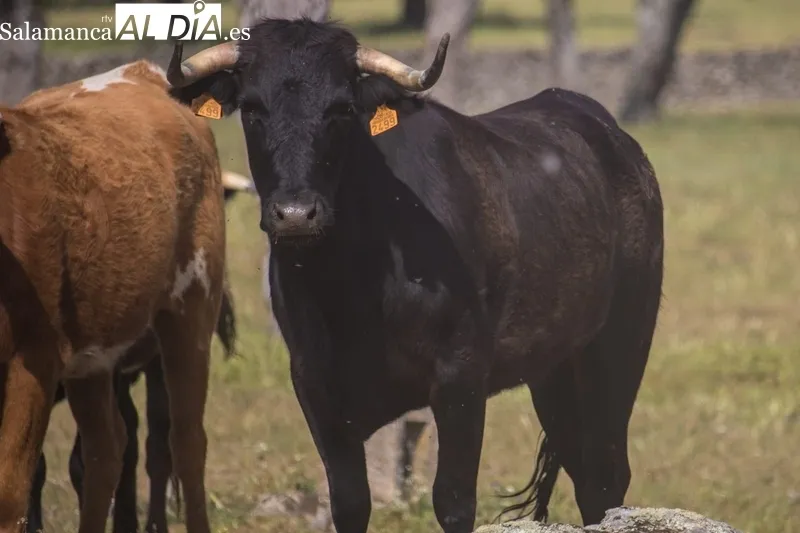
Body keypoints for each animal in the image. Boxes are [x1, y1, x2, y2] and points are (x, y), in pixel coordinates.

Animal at [0, 59, 228, 533]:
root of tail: (143, 74)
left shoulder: (33, 360)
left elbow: (9, 493)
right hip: (93, 355)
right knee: (105, 450)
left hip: (191, 311)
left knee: (185, 443)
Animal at [166, 18, 664, 533]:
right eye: (251, 109)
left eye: (342, 108)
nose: (296, 215)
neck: (352, 289)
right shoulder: (314, 384)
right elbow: (349, 500)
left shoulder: (460, 377)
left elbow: (453, 499)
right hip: (555, 368)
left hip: (619, 347)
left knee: (605, 473)